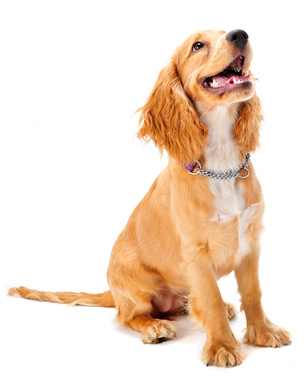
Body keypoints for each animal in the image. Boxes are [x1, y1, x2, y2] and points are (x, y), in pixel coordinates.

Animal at [8, 29, 292, 368]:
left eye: (228, 32)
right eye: (198, 45)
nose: (241, 34)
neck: (221, 161)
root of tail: (112, 291)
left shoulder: (250, 241)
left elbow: (252, 294)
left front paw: (263, 332)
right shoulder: (196, 252)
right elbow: (209, 298)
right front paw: (222, 346)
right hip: (137, 287)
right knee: (129, 315)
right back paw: (155, 326)